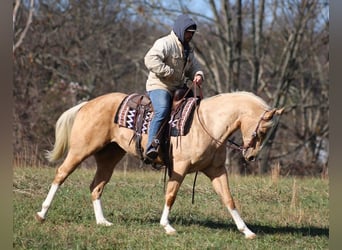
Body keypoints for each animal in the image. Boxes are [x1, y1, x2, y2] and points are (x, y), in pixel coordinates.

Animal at [36, 91, 284, 238]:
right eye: (262, 130)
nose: (251, 156)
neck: (208, 124)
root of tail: (88, 103)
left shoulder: (216, 171)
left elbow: (228, 199)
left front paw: (246, 231)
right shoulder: (179, 168)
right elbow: (171, 195)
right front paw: (167, 225)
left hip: (110, 157)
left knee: (96, 186)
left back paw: (102, 222)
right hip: (81, 150)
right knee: (61, 174)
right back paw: (42, 213)